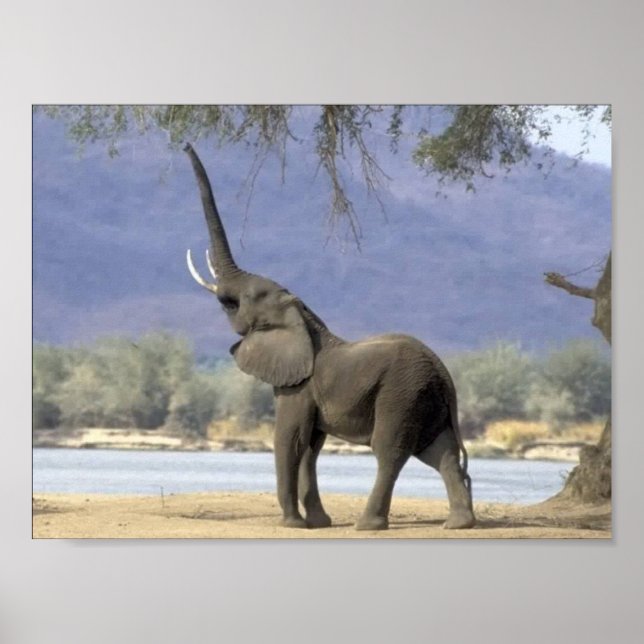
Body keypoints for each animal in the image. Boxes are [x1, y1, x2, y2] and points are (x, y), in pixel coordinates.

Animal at [183, 142, 475, 530]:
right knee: (440, 451)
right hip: (427, 399)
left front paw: (292, 524)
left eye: (238, 301)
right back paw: (459, 524)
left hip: (402, 393)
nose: (185, 144)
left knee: (390, 451)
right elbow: (310, 446)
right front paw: (318, 523)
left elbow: (290, 439)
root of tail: (445, 376)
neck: (303, 317)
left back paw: (368, 525)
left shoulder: (298, 385)